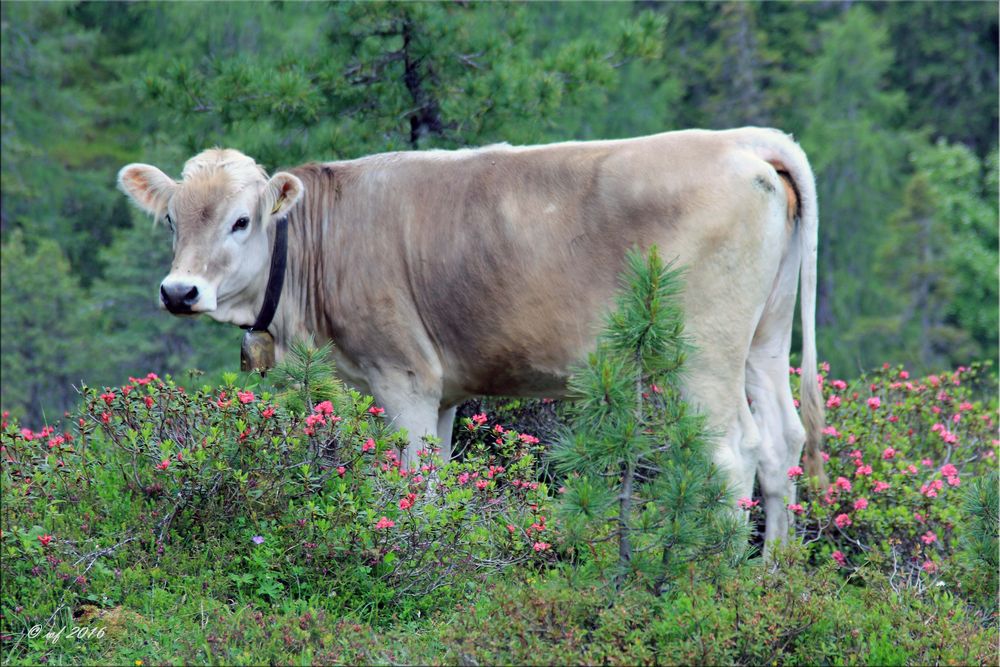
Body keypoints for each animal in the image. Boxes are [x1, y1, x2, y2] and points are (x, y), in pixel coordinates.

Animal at [119, 128, 828, 544]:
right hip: (764, 338)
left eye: (241, 221)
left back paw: (719, 576)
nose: (180, 291)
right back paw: (773, 573)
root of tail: (743, 140)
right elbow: (438, 479)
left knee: (732, 453)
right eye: (173, 220)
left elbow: (415, 483)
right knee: (780, 443)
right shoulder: (444, 389)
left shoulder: (403, 375)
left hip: (703, 352)